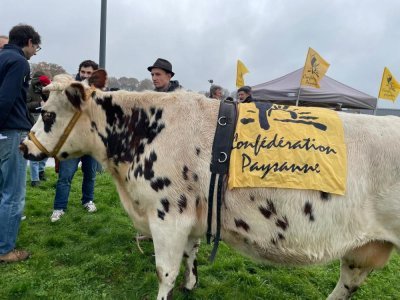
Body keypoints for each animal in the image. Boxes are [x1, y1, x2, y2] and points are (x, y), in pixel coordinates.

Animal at [20, 69, 400, 298]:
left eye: (48, 114)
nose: (24, 147)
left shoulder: (167, 214)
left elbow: (164, 271)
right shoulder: (192, 216)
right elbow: (190, 255)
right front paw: (192, 283)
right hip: (364, 250)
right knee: (347, 285)